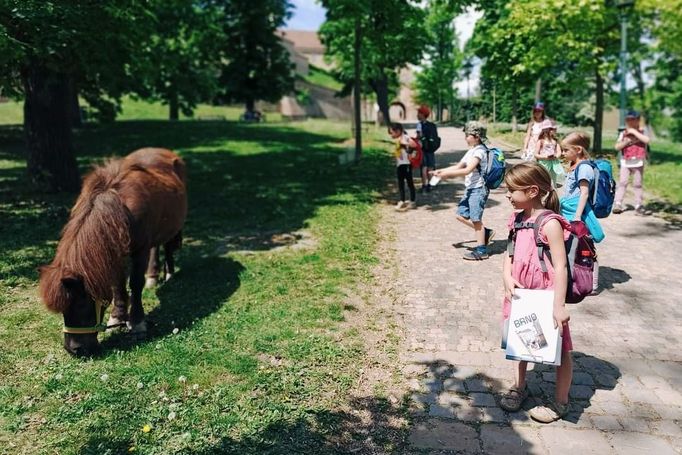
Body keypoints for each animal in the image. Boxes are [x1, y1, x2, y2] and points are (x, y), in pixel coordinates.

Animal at [38, 148, 187, 358]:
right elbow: (117, 286)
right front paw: (117, 318)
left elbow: (135, 283)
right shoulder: (114, 253)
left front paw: (137, 323)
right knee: (155, 247)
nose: (74, 349)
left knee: (165, 246)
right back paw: (153, 276)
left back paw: (169, 273)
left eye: (81, 303)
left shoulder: (139, 250)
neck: (121, 208)